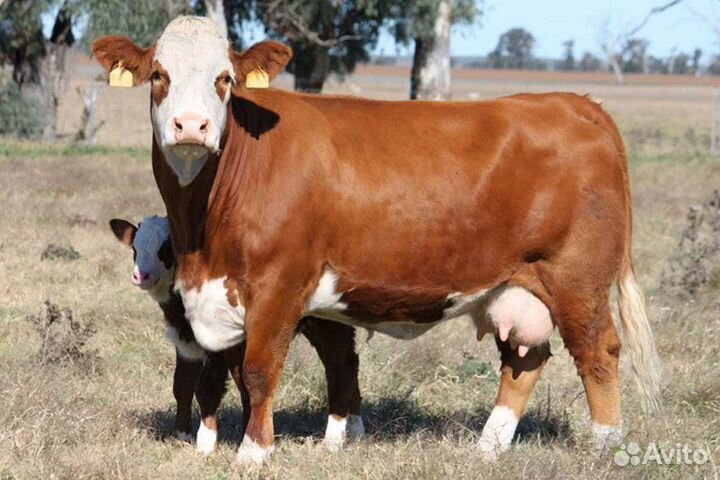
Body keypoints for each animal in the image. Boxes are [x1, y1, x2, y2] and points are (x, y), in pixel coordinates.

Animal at [108, 215, 364, 453]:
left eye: (166, 249)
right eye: (135, 248)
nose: (141, 276)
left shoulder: (219, 343)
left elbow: (212, 386)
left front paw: (208, 443)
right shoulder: (186, 340)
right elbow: (182, 385)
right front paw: (182, 436)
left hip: (329, 325)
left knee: (339, 367)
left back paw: (334, 439)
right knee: (350, 363)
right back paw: (355, 428)